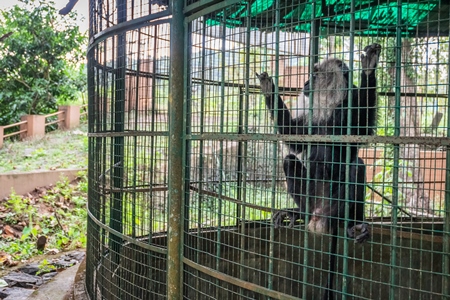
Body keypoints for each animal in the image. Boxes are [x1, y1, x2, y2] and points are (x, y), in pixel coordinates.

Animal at [256, 42, 380, 300]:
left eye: (314, 75)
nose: (304, 83)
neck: (330, 101)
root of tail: (320, 215)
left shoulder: (351, 100)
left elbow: (361, 127)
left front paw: (369, 69)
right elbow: (295, 139)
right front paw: (269, 90)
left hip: (336, 201)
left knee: (356, 166)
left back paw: (353, 224)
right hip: (311, 198)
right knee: (290, 161)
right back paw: (299, 213)